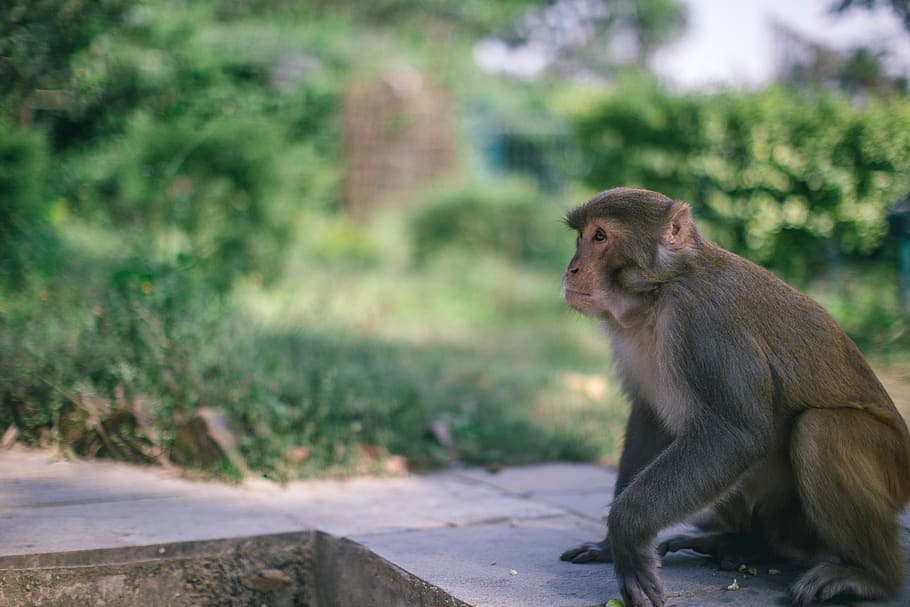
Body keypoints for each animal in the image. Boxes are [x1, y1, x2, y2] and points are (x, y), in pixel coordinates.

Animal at [558, 187, 910, 607]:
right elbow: (651, 421)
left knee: (820, 429)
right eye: (580, 236)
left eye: (599, 237)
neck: (660, 293)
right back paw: (744, 544)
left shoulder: (706, 324)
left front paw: (625, 534)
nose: (571, 269)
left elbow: (735, 436)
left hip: (889, 467)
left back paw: (870, 576)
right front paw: (608, 545)